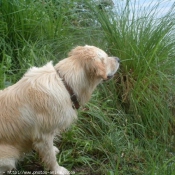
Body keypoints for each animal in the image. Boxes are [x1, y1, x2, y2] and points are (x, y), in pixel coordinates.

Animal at [0, 45, 119, 175]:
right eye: (105, 58)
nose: (118, 59)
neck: (65, 84)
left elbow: (50, 151)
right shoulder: (43, 136)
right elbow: (50, 158)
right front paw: (58, 170)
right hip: (8, 158)